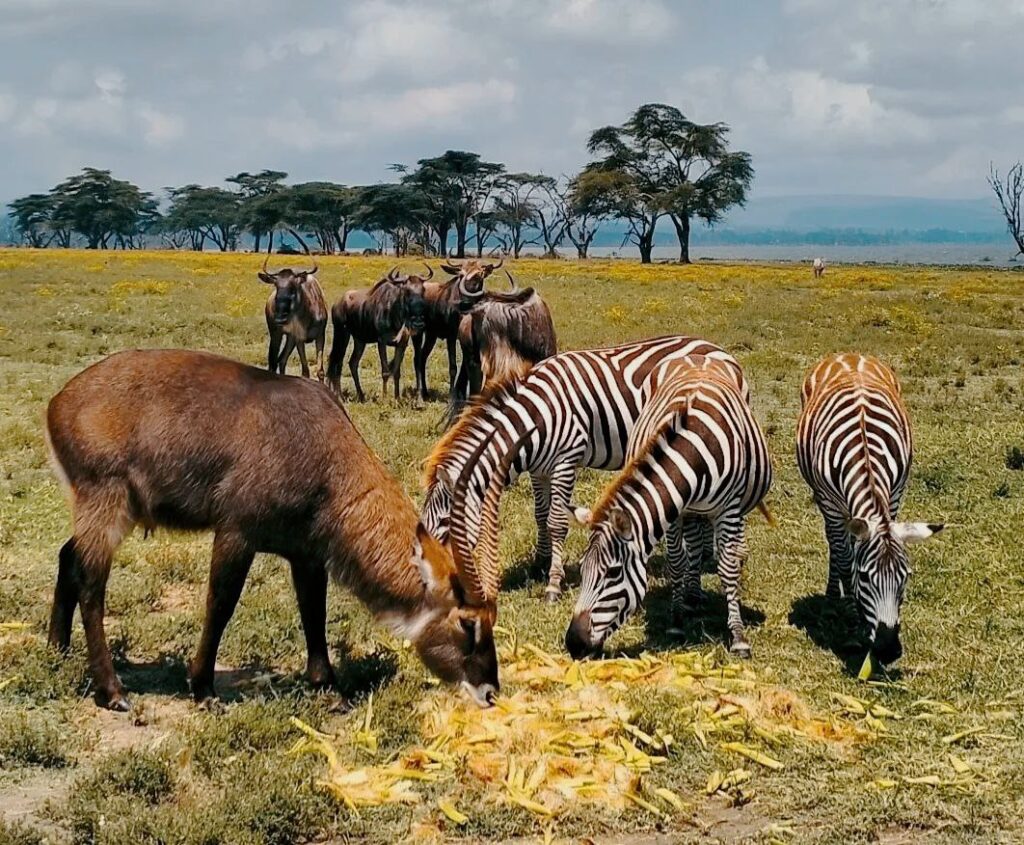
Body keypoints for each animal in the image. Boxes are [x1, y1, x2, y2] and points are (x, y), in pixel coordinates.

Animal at [43, 346, 516, 708]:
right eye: (467, 623)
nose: (490, 691)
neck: (323, 452)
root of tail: (59, 400)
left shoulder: (306, 554)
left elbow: (314, 612)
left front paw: (328, 688)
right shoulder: (236, 534)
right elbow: (220, 604)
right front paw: (203, 686)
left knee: (68, 555)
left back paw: (58, 650)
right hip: (106, 502)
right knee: (92, 584)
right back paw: (112, 691)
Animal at [327, 266, 432, 401]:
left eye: (423, 290)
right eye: (406, 291)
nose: (418, 323)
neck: (395, 315)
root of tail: (337, 304)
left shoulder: (401, 345)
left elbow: (396, 372)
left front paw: (397, 398)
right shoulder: (381, 342)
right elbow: (385, 371)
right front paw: (385, 399)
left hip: (359, 340)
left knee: (353, 363)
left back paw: (361, 395)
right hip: (342, 334)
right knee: (337, 362)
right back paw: (340, 396)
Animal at [419, 333, 749, 598]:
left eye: (445, 524)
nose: (433, 585)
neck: (534, 419)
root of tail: (720, 350)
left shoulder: (567, 459)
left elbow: (556, 522)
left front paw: (553, 584)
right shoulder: (539, 469)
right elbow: (540, 515)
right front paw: (539, 564)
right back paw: (704, 554)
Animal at [565, 356, 770, 659]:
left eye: (613, 573)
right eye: (581, 570)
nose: (573, 643)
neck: (694, 450)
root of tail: (698, 356)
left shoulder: (729, 509)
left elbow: (728, 567)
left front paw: (738, 637)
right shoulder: (675, 511)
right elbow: (676, 562)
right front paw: (676, 621)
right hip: (693, 511)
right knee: (694, 545)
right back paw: (692, 597)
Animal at [790, 352, 942, 663]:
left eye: (906, 577)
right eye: (864, 577)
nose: (888, 649)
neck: (865, 453)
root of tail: (847, 354)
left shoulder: (894, 497)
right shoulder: (831, 505)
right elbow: (844, 556)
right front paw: (850, 613)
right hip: (825, 500)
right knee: (835, 544)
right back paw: (833, 597)